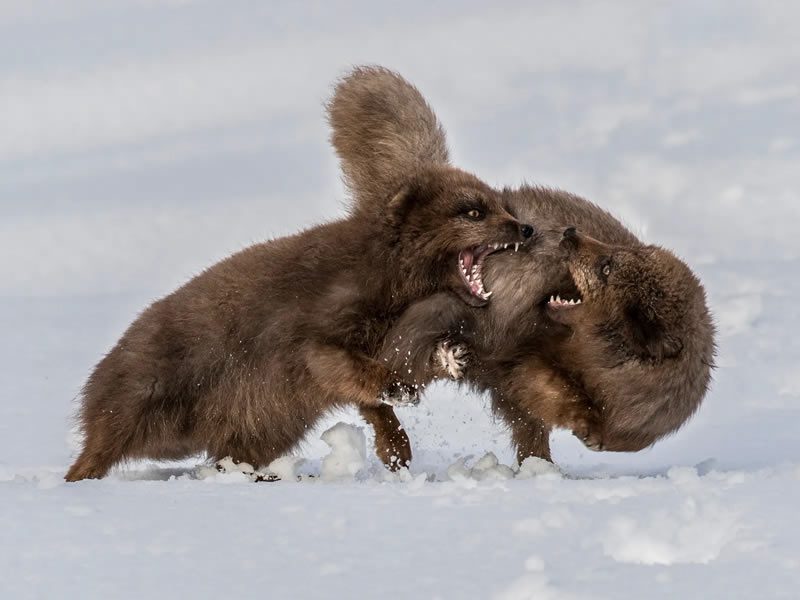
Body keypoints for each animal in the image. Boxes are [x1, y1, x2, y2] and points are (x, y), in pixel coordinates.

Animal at [65, 79, 536, 480]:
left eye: (501, 203)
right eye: (473, 211)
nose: (526, 228)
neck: (387, 278)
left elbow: (372, 391)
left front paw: (403, 432)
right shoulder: (321, 319)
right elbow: (334, 361)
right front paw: (396, 389)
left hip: (261, 426)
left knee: (231, 453)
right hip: (149, 391)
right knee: (104, 445)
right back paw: (80, 476)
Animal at [328, 64, 716, 464]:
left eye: (607, 267)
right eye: (613, 257)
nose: (569, 234)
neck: (598, 373)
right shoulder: (519, 357)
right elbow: (545, 388)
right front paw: (580, 420)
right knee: (382, 378)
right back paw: (396, 443)